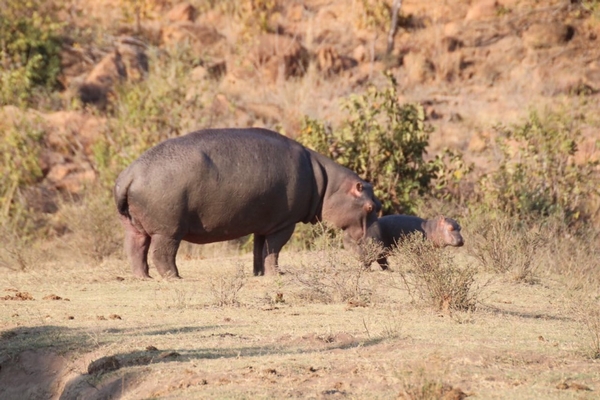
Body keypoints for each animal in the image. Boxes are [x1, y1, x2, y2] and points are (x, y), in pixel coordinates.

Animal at [113, 128, 380, 278]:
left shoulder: (264, 224)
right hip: (168, 229)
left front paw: (259, 274)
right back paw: (174, 277)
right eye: (371, 207)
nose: (378, 251)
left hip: (133, 226)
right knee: (162, 253)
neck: (328, 185)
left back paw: (142, 278)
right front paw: (277, 275)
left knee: (136, 250)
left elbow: (259, 250)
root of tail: (129, 175)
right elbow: (274, 249)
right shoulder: (284, 224)